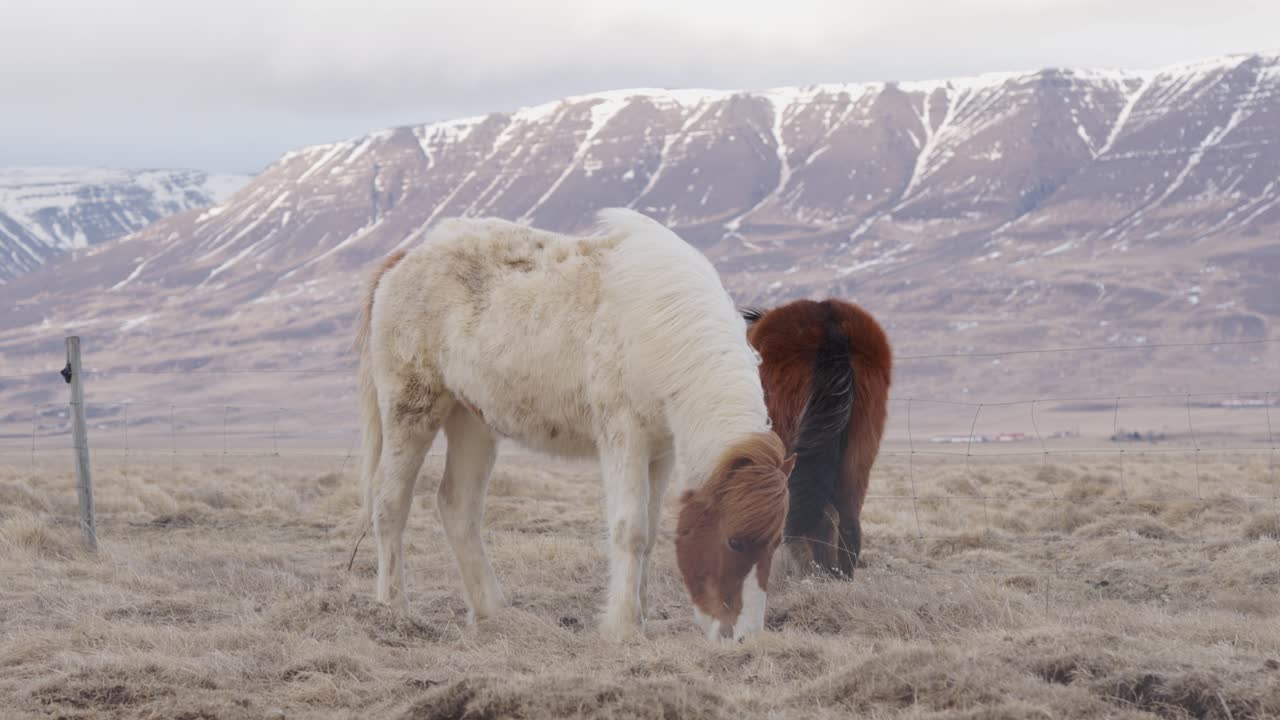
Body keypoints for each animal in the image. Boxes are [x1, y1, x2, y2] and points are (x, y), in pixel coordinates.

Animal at [350, 209, 794, 642]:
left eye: (776, 543)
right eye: (734, 541)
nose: (745, 638)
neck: (662, 325)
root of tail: (404, 260)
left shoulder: (662, 451)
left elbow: (651, 534)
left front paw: (640, 617)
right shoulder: (624, 437)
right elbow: (630, 529)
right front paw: (623, 628)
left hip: (471, 421)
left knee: (457, 506)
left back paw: (492, 612)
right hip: (411, 410)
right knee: (390, 502)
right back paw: (394, 608)